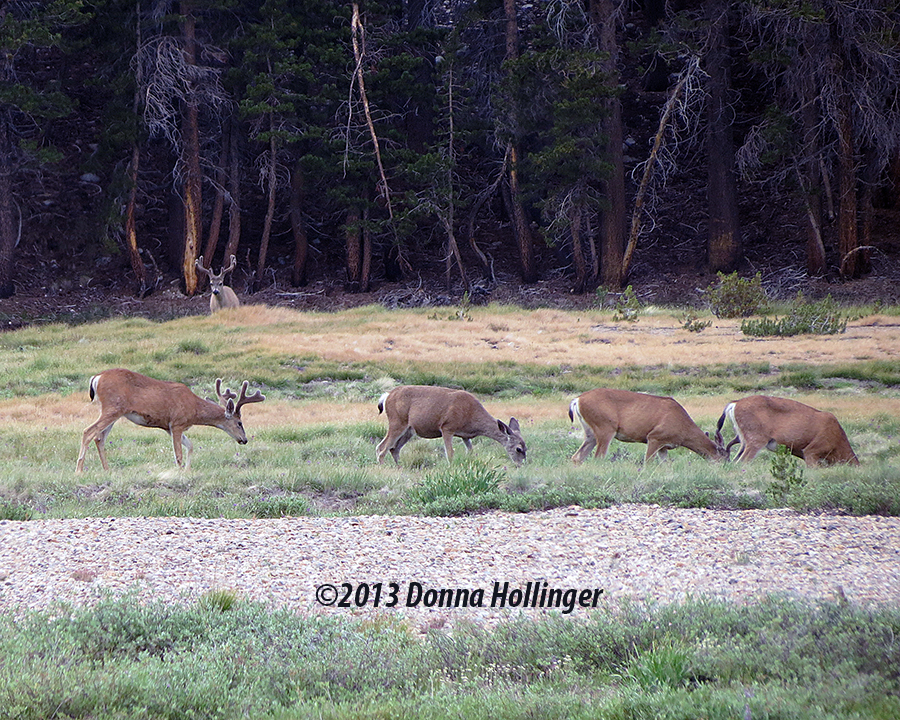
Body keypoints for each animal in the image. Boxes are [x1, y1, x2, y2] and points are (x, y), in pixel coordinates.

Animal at [75, 372, 266, 472]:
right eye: (240, 422)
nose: (244, 440)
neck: (194, 408)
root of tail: (97, 377)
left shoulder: (169, 427)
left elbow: (190, 446)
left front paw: (187, 471)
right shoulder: (177, 423)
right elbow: (178, 454)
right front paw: (180, 472)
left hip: (114, 411)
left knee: (99, 438)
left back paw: (107, 470)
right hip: (112, 407)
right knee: (88, 431)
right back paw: (79, 470)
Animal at [374, 386, 528, 464]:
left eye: (526, 447)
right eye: (519, 449)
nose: (521, 465)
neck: (471, 416)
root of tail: (387, 395)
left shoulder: (465, 435)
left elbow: (470, 451)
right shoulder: (447, 427)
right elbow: (450, 452)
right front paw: (451, 468)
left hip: (409, 430)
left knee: (394, 449)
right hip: (397, 421)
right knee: (381, 447)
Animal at [568, 390, 724, 464]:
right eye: (724, 456)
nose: (726, 466)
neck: (683, 427)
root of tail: (577, 399)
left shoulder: (664, 446)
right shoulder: (655, 437)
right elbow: (648, 463)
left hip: (590, 433)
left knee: (577, 457)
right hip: (605, 427)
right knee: (598, 457)